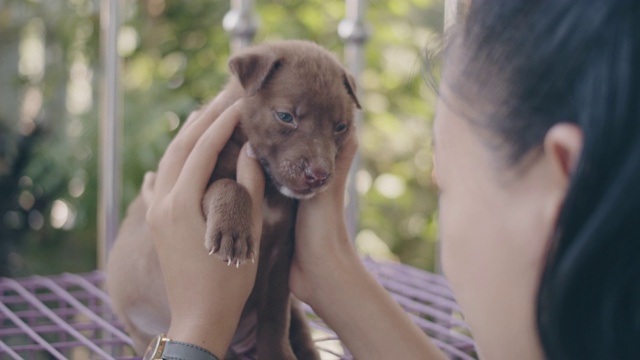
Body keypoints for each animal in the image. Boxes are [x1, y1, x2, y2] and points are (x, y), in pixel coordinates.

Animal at [107, 40, 362, 358]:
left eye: (340, 128)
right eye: (286, 116)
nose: (319, 175)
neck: (270, 191)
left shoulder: (280, 259)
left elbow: (274, 318)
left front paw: (278, 355)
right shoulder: (198, 183)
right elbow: (230, 185)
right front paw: (233, 232)